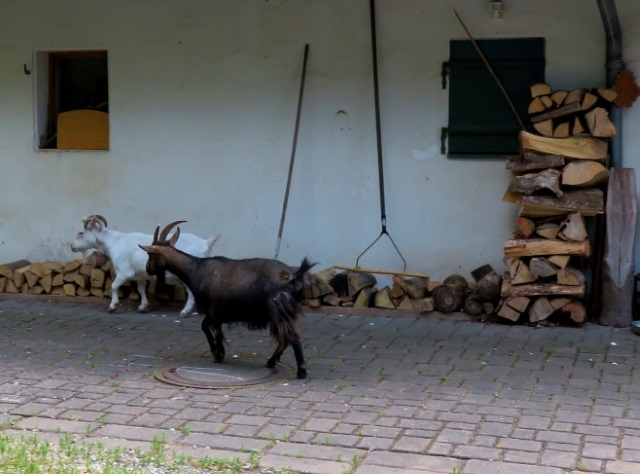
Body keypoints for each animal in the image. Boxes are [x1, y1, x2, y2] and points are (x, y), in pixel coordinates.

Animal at [71, 217, 219, 316]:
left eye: (81, 232)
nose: (72, 246)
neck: (114, 242)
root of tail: (205, 244)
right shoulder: (139, 275)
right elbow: (141, 289)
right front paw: (143, 307)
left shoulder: (124, 272)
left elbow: (114, 286)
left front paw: (113, 306)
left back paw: (185, 311)